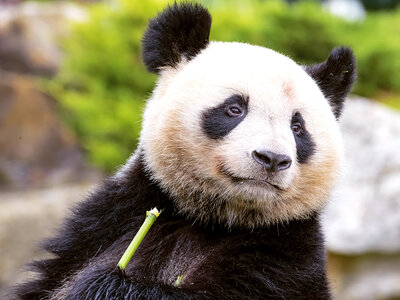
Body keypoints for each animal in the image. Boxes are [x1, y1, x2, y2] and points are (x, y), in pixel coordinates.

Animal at [14, 2, 356, 300]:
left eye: (297, 128)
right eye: (234, 109)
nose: (272, 159)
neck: (213, 217)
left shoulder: (283, 255)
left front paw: (102, 284)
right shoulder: (111, 219)